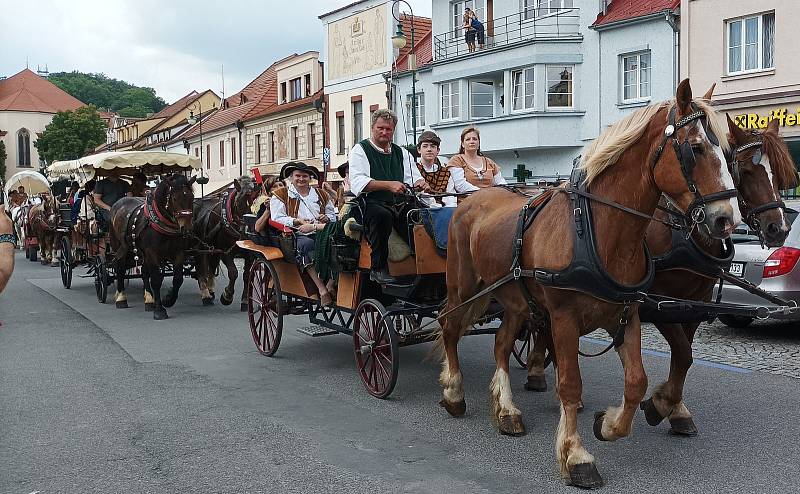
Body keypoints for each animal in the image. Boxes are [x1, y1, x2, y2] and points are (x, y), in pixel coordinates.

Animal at [108, 175, 196, 320]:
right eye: (174, 198)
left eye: (192, 197)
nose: (187, 228)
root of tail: (119, 202)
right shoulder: (152, 253)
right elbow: (156, 279)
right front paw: (159, 310)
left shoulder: (177, 253)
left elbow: (178, 278)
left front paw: (168, 300)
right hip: (119, 246)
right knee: (119, 268)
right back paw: (121, 298)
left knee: (144, 271)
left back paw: (149, 300)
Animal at [438, 79, 736, 488]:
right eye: (695, 148)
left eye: (727, 150)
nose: (726, 220)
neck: (597, 231)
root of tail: (471, 200)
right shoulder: (563, 318)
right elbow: (570, 384)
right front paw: (576, 455)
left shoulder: (626, 315)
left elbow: (636, 382)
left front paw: (609, 424)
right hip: (464, 287)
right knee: (450, 328)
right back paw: (454, 392)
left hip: (515, 299)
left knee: (501, 344)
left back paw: (507, 411)